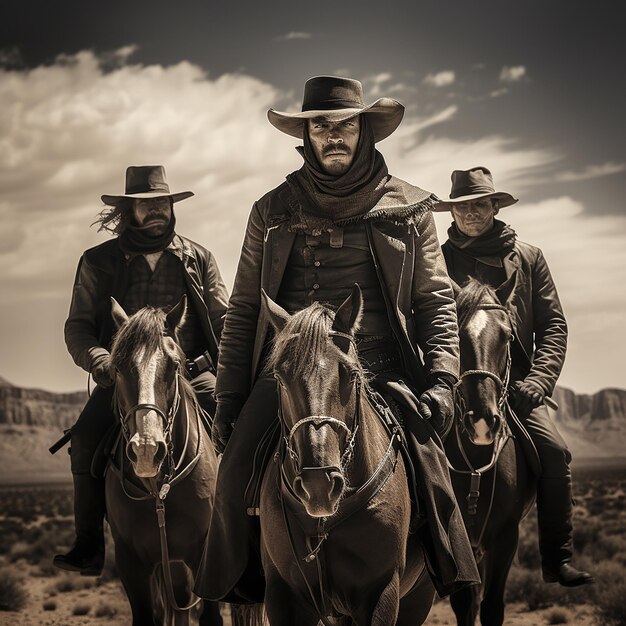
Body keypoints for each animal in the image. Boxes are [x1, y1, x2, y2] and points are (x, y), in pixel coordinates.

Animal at [103, 296, 219, 624]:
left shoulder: (206, 556)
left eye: (175, 365)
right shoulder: (132, 564)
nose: (146, 450)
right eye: (117, 368)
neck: (160, 494)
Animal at [444, 280, 536, 624]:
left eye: (507, 336)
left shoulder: (506, 536)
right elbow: (465, 604)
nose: (482, 421)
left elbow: (492, 606)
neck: (475, 467)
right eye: (456, 333)